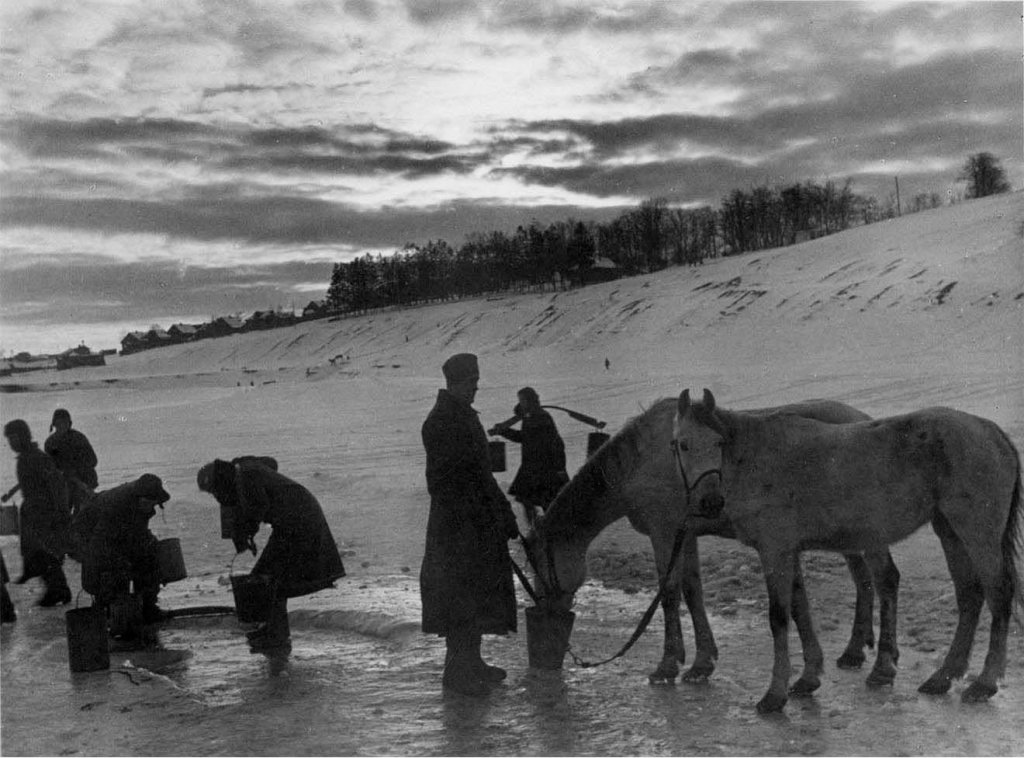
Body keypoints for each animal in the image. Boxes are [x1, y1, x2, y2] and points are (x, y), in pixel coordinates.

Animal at [524, 399, 892, 688]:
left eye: (540, 568)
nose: (546, 614)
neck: (641, 460)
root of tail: (860, 417)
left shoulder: (664, 532)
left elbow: (670, 595)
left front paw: (668, 664)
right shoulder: (684, 535)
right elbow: (692, 591)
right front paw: (702, 662)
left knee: (880, 579)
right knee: (863, 579)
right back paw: (855, 650)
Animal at [675, 387, 1019, 712]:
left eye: (718, 443)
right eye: (681, 444)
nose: (709, 501)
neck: (758, 458)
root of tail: (990, 430)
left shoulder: (775, 551)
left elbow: (779, 618)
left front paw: (774, 695)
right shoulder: (789, 551)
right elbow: (800, 609)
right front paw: (807, 678)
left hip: (976, 533)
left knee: (998, 595)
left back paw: (985, 683)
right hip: (949, 531)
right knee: (969, 595)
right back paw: (943, 677)